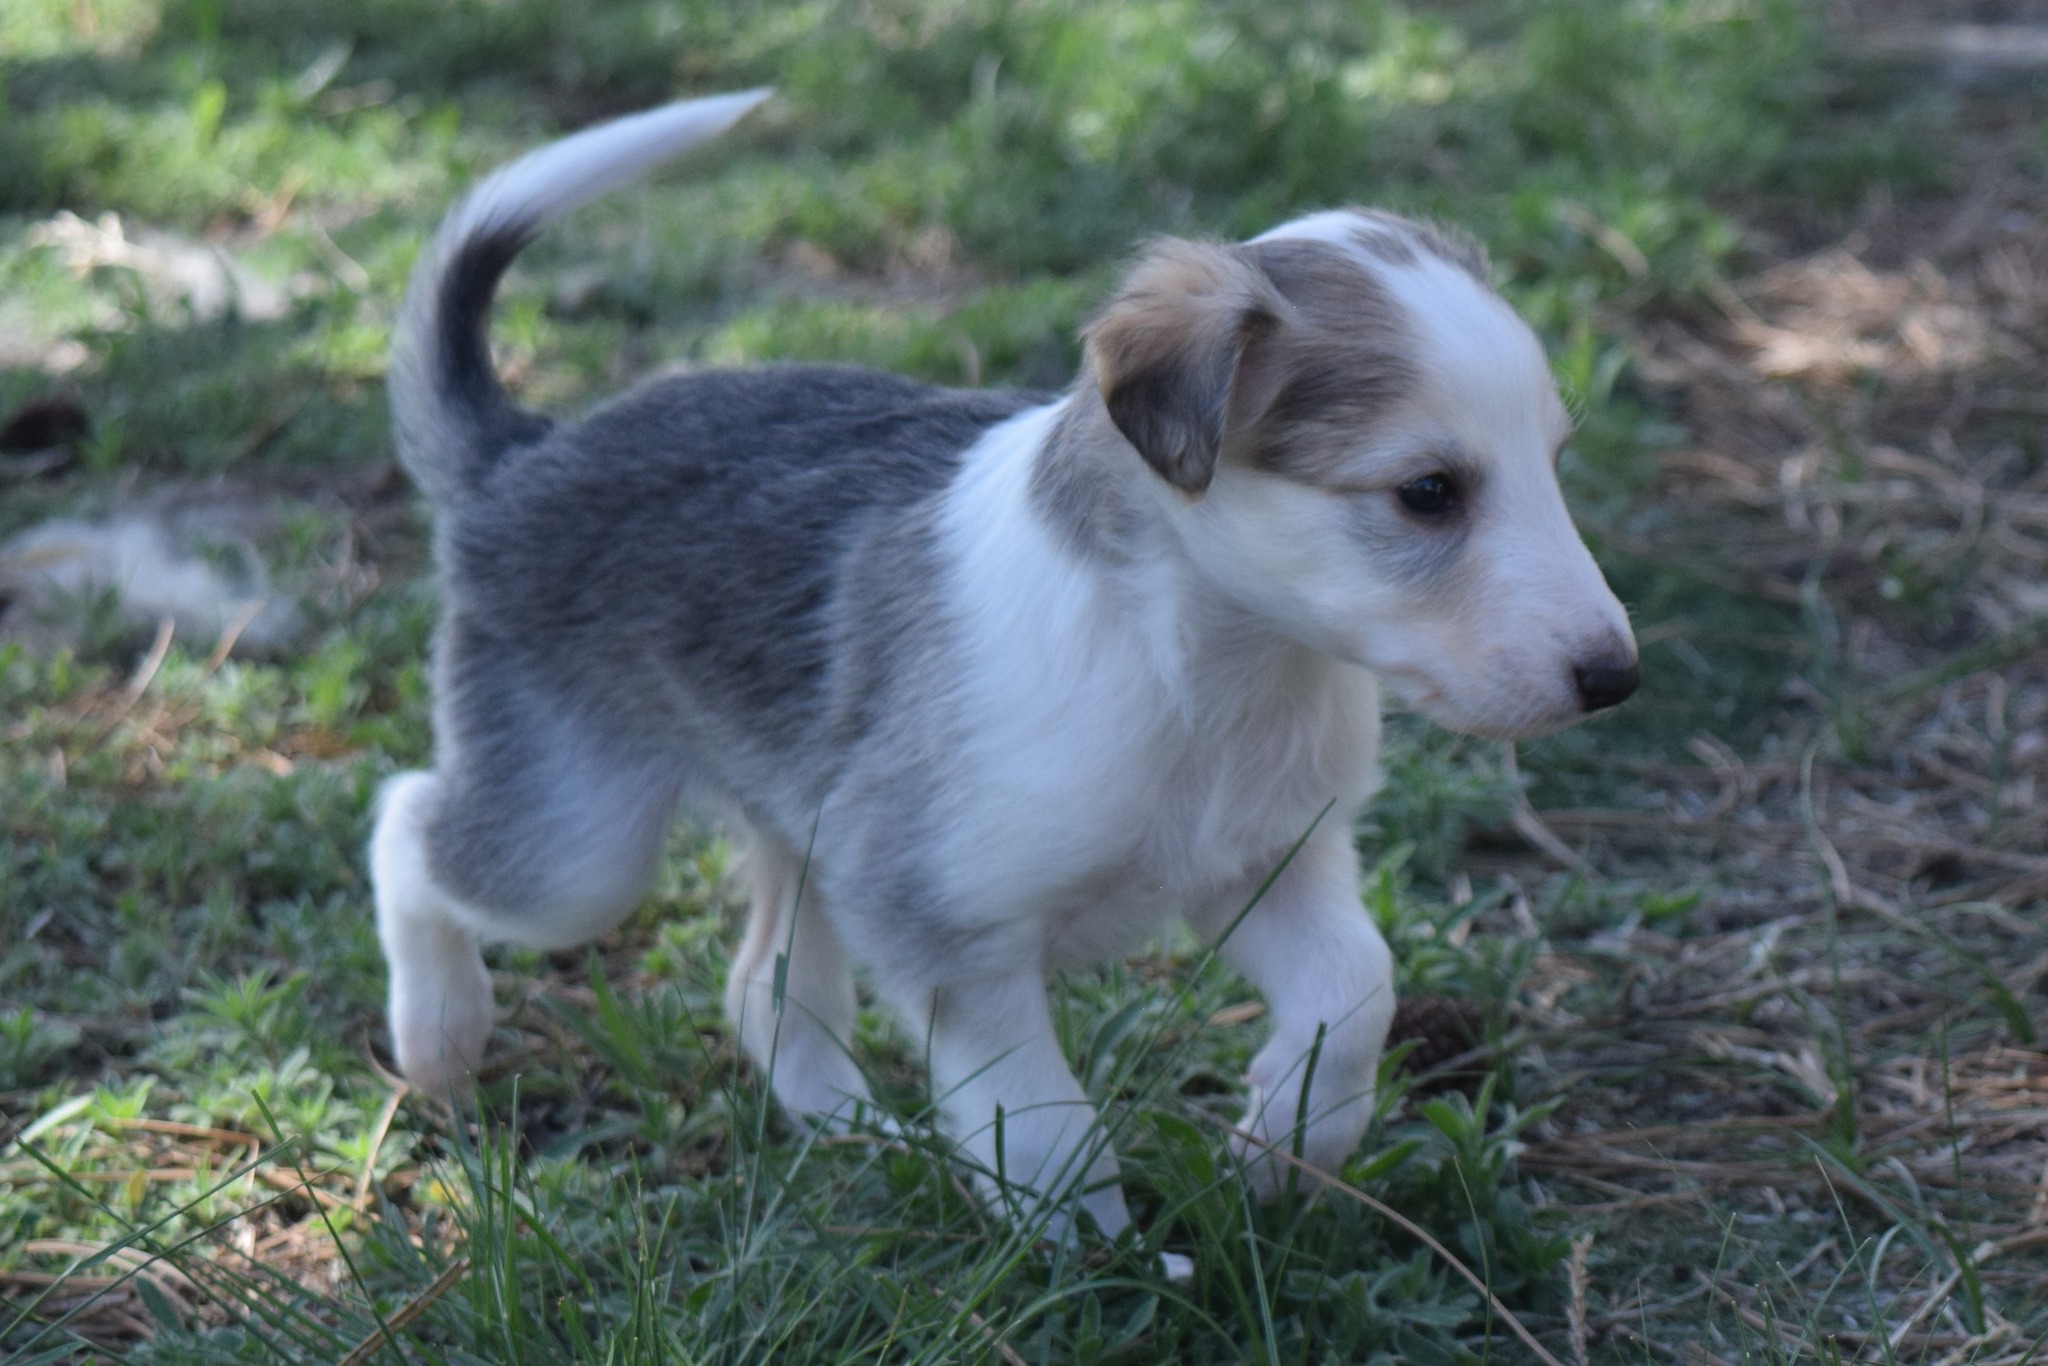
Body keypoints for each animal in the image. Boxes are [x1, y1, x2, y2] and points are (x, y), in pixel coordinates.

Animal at [370, 88, 1637, 1248]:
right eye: (1426, 491)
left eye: (1555, 462)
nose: (1615, 677)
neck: (1205, 675)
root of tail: (521, 454)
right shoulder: (936, 912)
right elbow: (1040, 1114)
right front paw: (1096, 1255)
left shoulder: (1265, 861)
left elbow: (1358, 986)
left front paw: (1282, 1139)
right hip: (578, 847)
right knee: (405, 825)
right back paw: (439, 1032)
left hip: (798, 824)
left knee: (764, 992)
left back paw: (866, 1139)